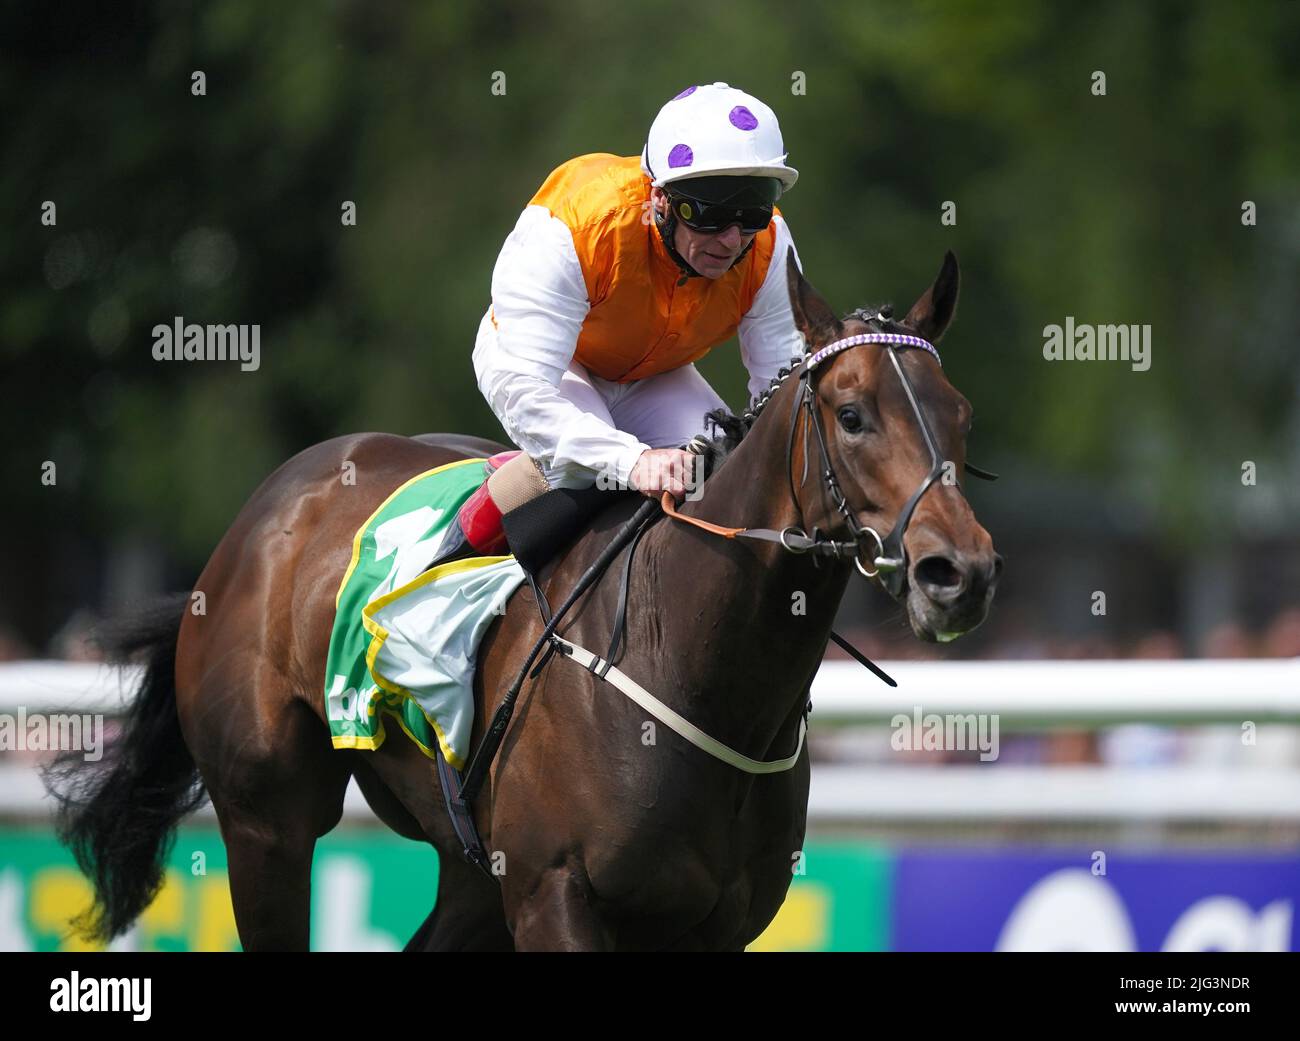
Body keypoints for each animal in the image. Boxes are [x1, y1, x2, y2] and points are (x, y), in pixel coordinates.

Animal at [50, 252, 998, 951]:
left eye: (961, 413)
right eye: (852, 413)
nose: (959, 572)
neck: (695, 668)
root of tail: (266, 508)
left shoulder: (709, 922)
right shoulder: (556, 894)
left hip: (470, 869)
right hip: (266, 820)